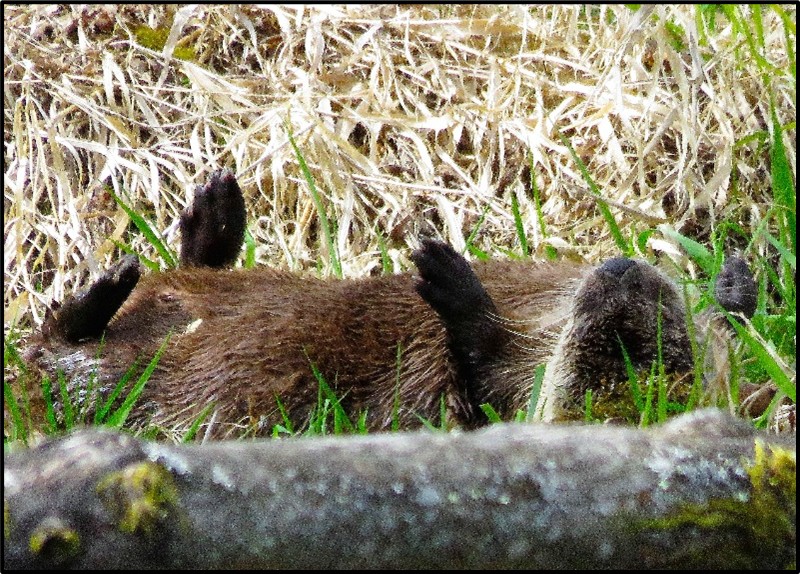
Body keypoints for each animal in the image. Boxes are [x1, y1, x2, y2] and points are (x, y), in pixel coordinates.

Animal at [12, 171, 757, 438]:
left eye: (627, 343)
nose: (625, 274)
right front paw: (735, 288)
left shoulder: (497, 396)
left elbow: (481, 375)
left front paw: (459, 293)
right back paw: (210, 227)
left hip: (114, 384)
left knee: (51, 355)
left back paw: (97, 301)